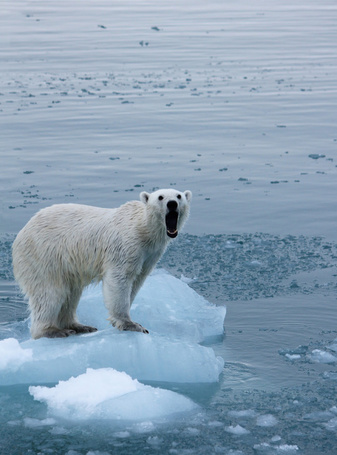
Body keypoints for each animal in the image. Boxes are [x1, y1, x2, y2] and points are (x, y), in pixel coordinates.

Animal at [12, 189, 192, 338]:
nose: (172, 204)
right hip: (44, 256)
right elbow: (120, 278)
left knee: (71, 294)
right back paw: (52, 331)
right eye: (160, 197)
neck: (143, 228)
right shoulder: (127, 244)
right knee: (50, 293)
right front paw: (131, 324)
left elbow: (137, 280)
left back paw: (79, 326)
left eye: (179, 196)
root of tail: (21, 233)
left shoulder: (150, 254)